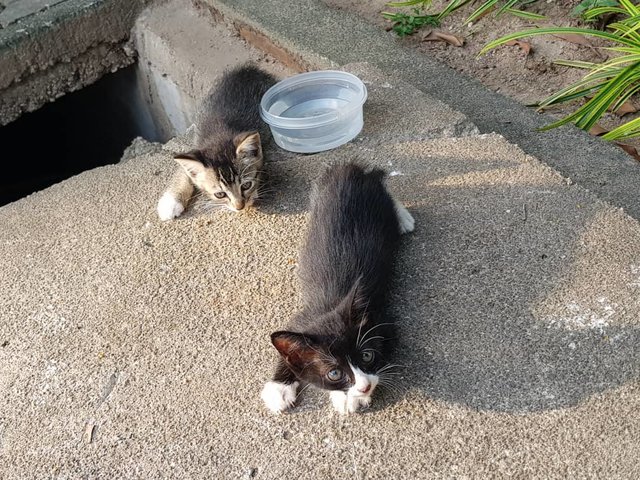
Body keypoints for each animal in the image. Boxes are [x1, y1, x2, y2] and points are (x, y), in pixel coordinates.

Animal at [157, 64, 276, 220]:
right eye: (220, 194)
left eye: (246, 185)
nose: (240, 207)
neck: (219, 134)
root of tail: (250, 69)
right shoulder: (196, 146)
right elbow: (183, 172)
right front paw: (170, 202)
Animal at [262, 163, 416, 414]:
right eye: (334, 373)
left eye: (366, 356)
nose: (364, 387)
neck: (331, 301)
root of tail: (350, 171)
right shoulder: (303, 318)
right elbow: (288, 352)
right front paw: (278, 388)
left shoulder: (384, 323)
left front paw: (349, 398)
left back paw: (403, 218)